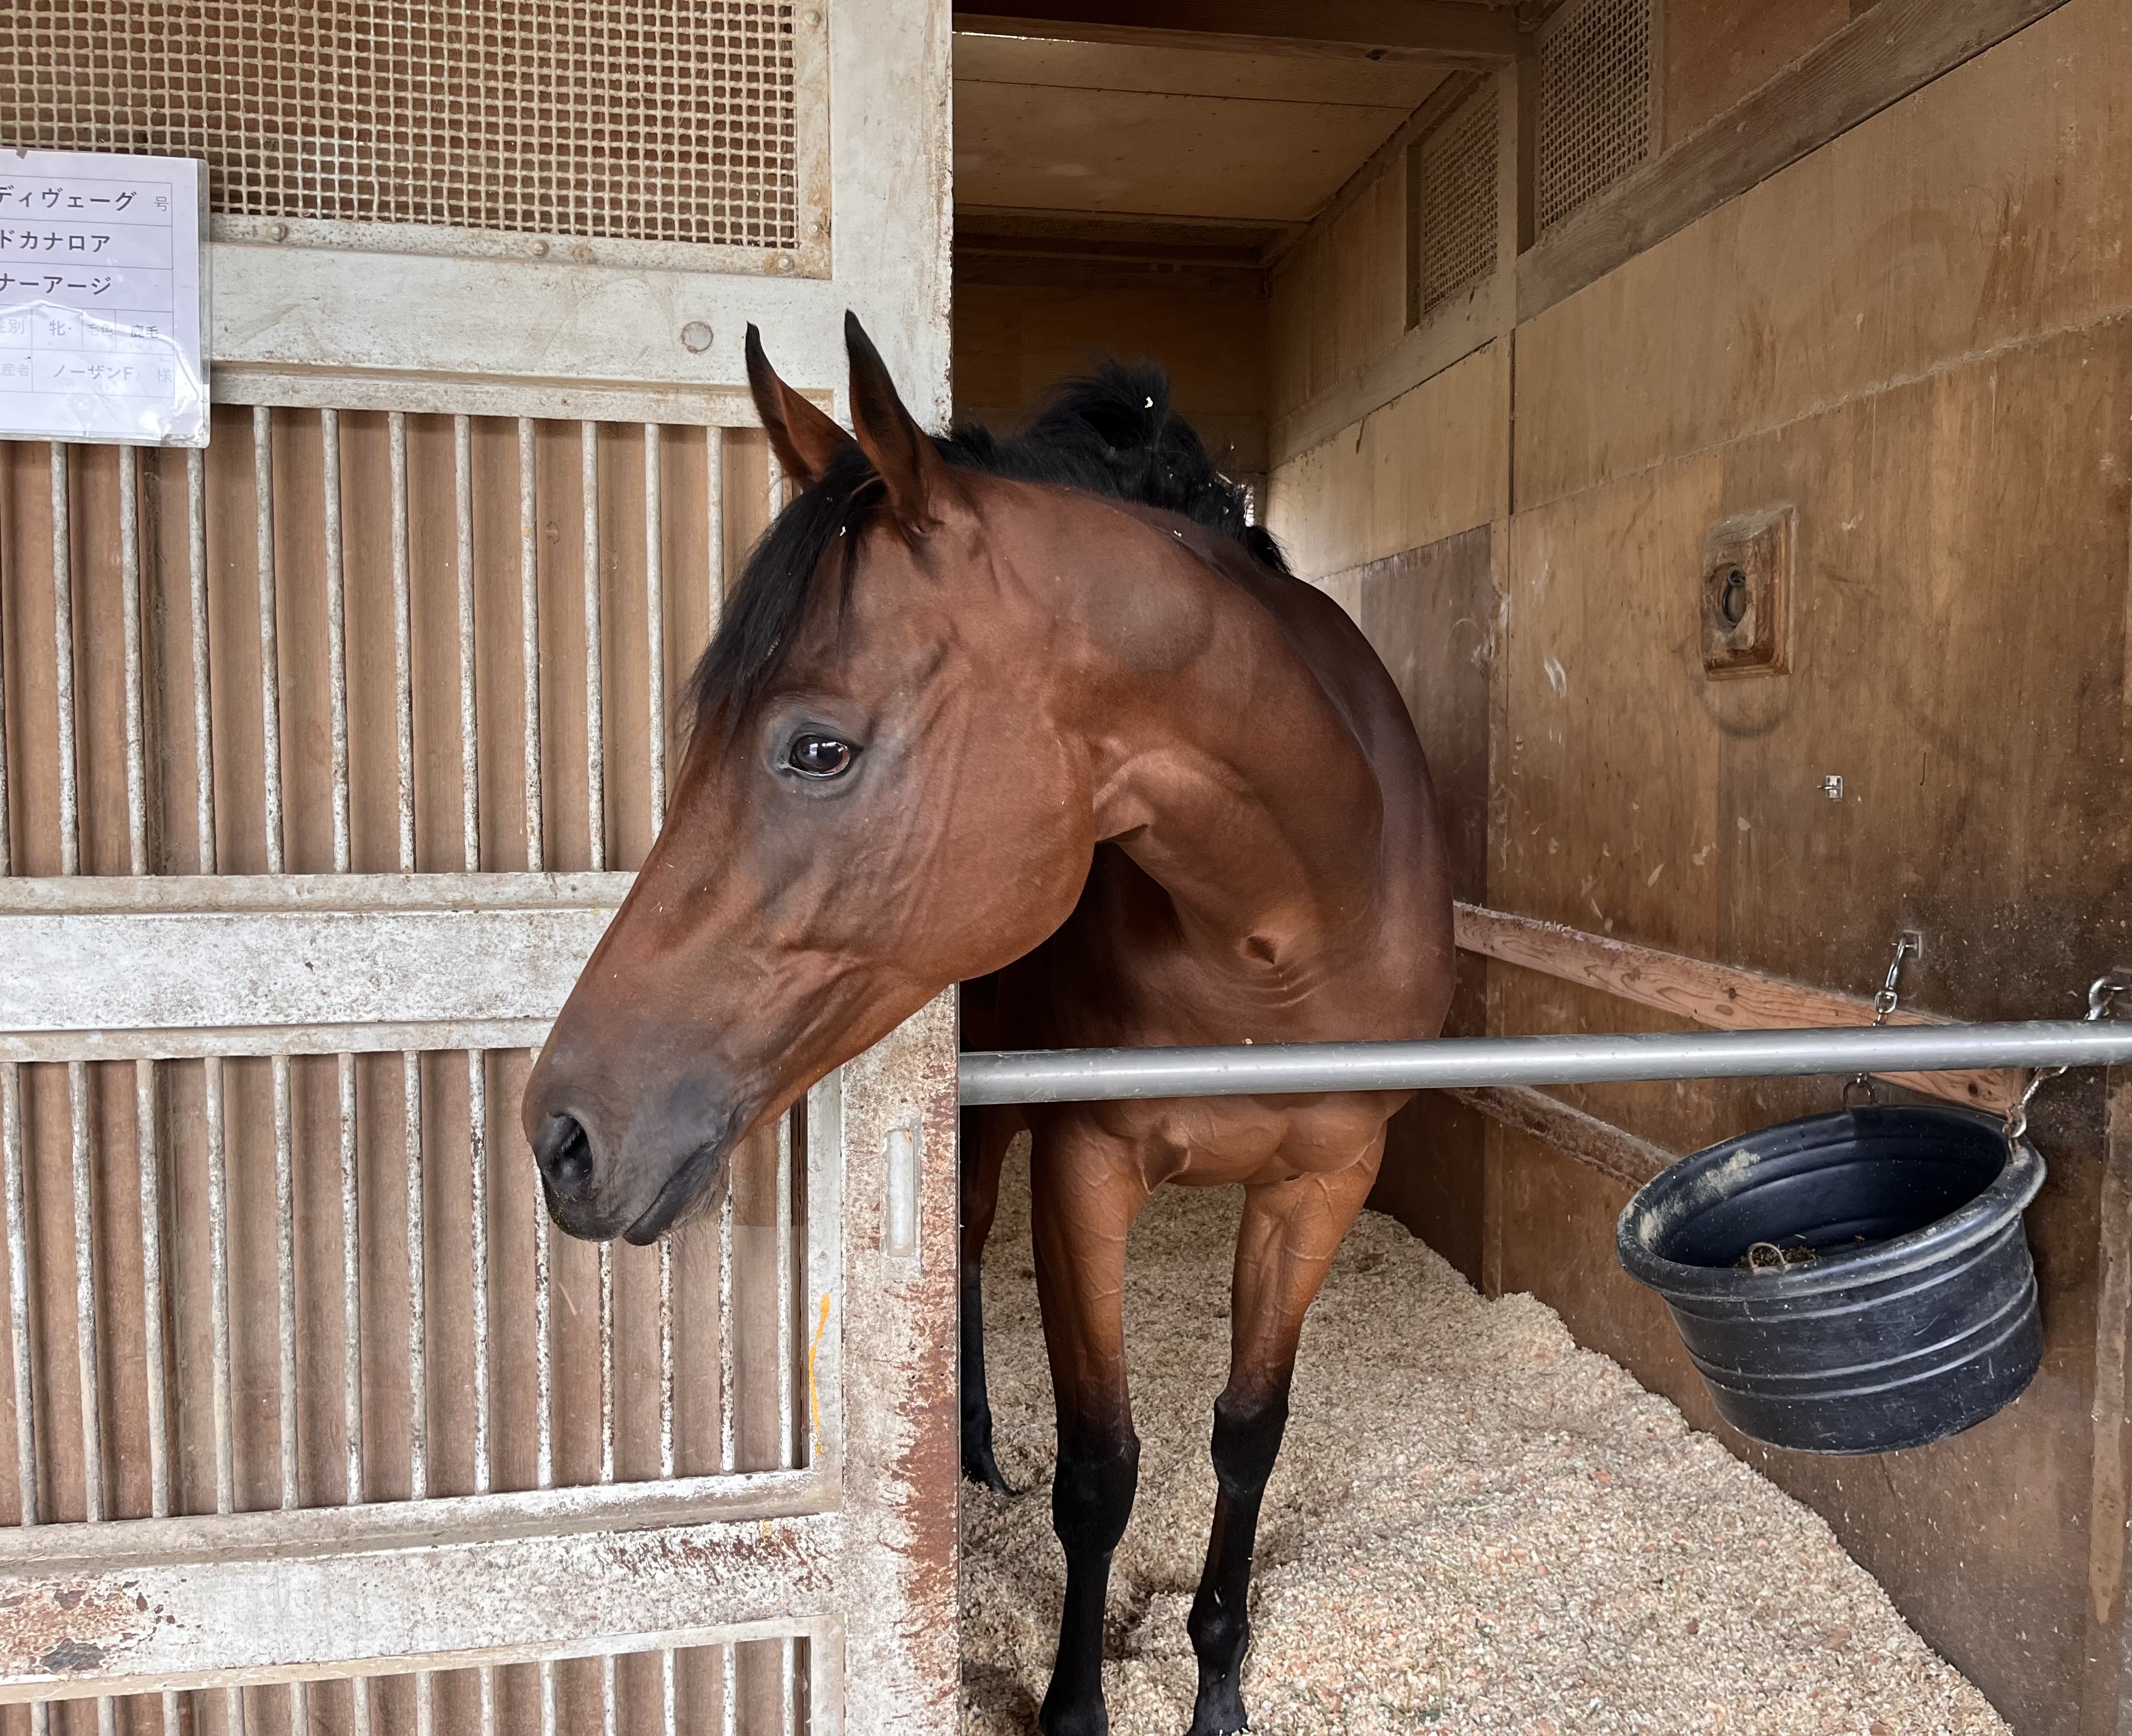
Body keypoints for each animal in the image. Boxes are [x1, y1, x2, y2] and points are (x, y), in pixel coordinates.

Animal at [523, 313, 1455, 1736]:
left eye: (816, 749)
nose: (561, 1134)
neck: (1285, 921)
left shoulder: (1329, 1179)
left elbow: (1248, 1433)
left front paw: (1218, 1684)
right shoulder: (1086, 1165)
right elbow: (1101, 1468)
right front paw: (1073, 1708)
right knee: (961, 1243)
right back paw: (963, 1439)